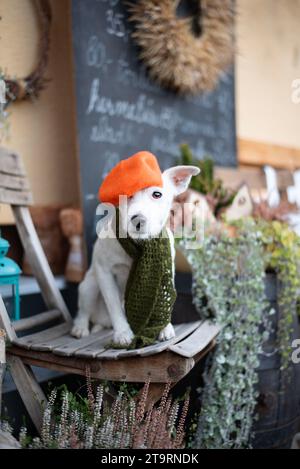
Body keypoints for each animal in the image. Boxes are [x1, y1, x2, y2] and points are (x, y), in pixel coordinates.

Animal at [71, 165, 199, 344]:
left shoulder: (166, 269)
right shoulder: (104, 272)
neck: (140, 243)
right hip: (89, 286)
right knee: (83, 312)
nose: (138, 219)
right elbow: (114, 306)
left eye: (157, 194)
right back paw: (80, 328)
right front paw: (122, 333)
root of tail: (103, 321)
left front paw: (164, 327)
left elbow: (165, 298)